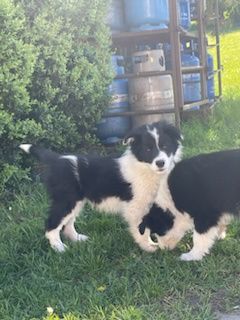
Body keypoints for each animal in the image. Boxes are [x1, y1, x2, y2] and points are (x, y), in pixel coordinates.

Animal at [19, 122, 183, 252]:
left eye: (165, 146)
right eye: (148, 150)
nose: (160, 163)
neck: (145, 167)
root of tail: (57, 159)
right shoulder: (136, 206)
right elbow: (142, 228)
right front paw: (149, 246)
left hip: (76, 201)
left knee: (68, 223)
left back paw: (77, 239)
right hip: (67, 200)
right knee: (52, 224)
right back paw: (59, 248)